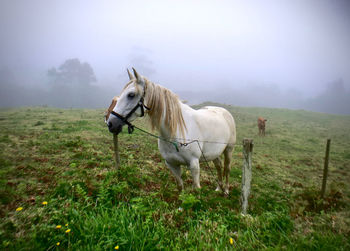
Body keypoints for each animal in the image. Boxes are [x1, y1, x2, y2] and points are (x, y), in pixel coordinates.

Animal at [107, 68, 235, 194]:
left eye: (131, 95)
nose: (111, 123)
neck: (175, 134)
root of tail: (224, 111)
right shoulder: (172, 164)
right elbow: (180, 187)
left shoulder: (194, 165)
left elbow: (196, 190)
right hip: (214, 152)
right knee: (218, 166)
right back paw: (218, 188)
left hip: (228, 149)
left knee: (227, 168)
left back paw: (226, 190)